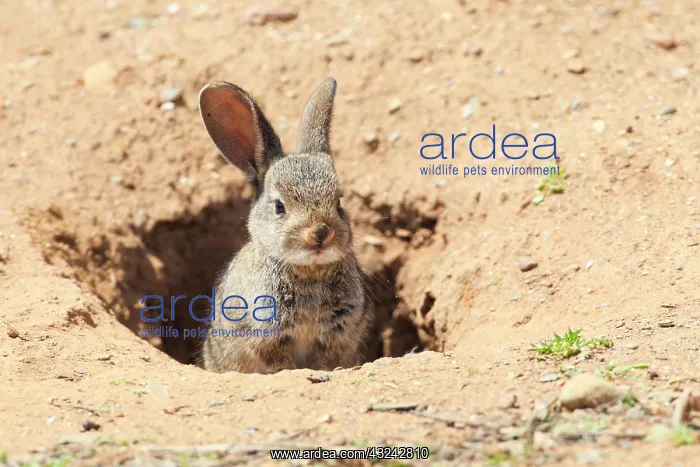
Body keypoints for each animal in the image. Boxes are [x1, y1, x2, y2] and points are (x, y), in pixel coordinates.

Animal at [197, 77, 372, 374]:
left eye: (339, 201)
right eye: (279, 206)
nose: (320, 233)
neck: (310, 271)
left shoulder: (340, 330)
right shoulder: (266, 332)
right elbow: (280, 363)